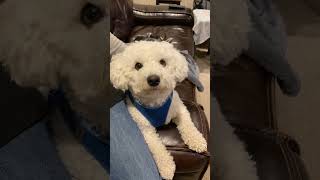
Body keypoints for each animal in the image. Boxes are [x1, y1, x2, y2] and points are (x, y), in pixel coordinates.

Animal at [110, 40, 208, 180]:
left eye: (163, 62)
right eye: (138, 65)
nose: (154, 79)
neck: (155, 100)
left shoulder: (179, 108)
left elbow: (188, 125)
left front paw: (197, 140)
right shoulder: (145, 129)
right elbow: (157, 147)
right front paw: (167, 167)